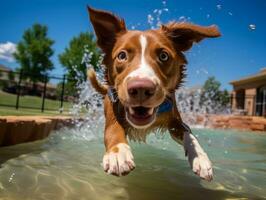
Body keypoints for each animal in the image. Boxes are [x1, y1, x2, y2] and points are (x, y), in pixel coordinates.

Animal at [87, 6, 220, 181]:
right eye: (122, 55)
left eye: (163, 55)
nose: (141, 89)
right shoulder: (111, 105)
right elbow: (113, 128)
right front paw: (118, 152)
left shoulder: (174, 119)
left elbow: (189, 133)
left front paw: (201, 157)